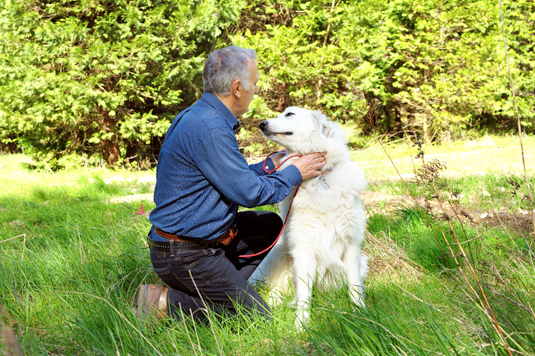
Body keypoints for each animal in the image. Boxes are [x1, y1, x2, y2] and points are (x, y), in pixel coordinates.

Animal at [250, 107, 368, 326]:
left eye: (289, 114)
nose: (261, 124)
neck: (319, 178)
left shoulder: (351, 245)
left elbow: (355, 285)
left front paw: (360, 312)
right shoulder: (303, 249)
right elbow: (304, 294)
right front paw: (301, 325)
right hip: (275, 256)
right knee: (277, 288)